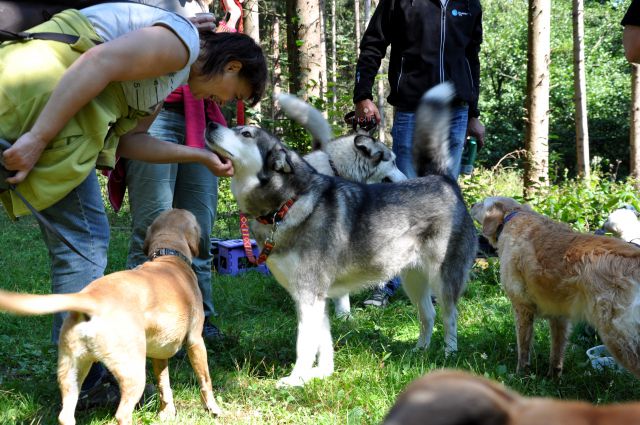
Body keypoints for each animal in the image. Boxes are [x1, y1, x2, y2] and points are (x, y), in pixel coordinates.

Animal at [0, 208, 221, 424]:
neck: (168, 257)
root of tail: (89, 298)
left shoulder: (160, 354)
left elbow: (163, 386)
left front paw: (166, 413)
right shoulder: (195, 341)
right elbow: (205, 380)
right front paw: (213, 408)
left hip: (73, 370)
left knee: (65, 416)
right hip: (133, 372)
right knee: (122, 414)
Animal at [470, 197, 640, 376]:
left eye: (482, 203)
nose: (472, 204)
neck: (514, 214)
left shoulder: (522, 306)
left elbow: (523, 348)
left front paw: (520, 375)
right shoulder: (559, 316)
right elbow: (556, 352)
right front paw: (553, 376)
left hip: (617, 337)